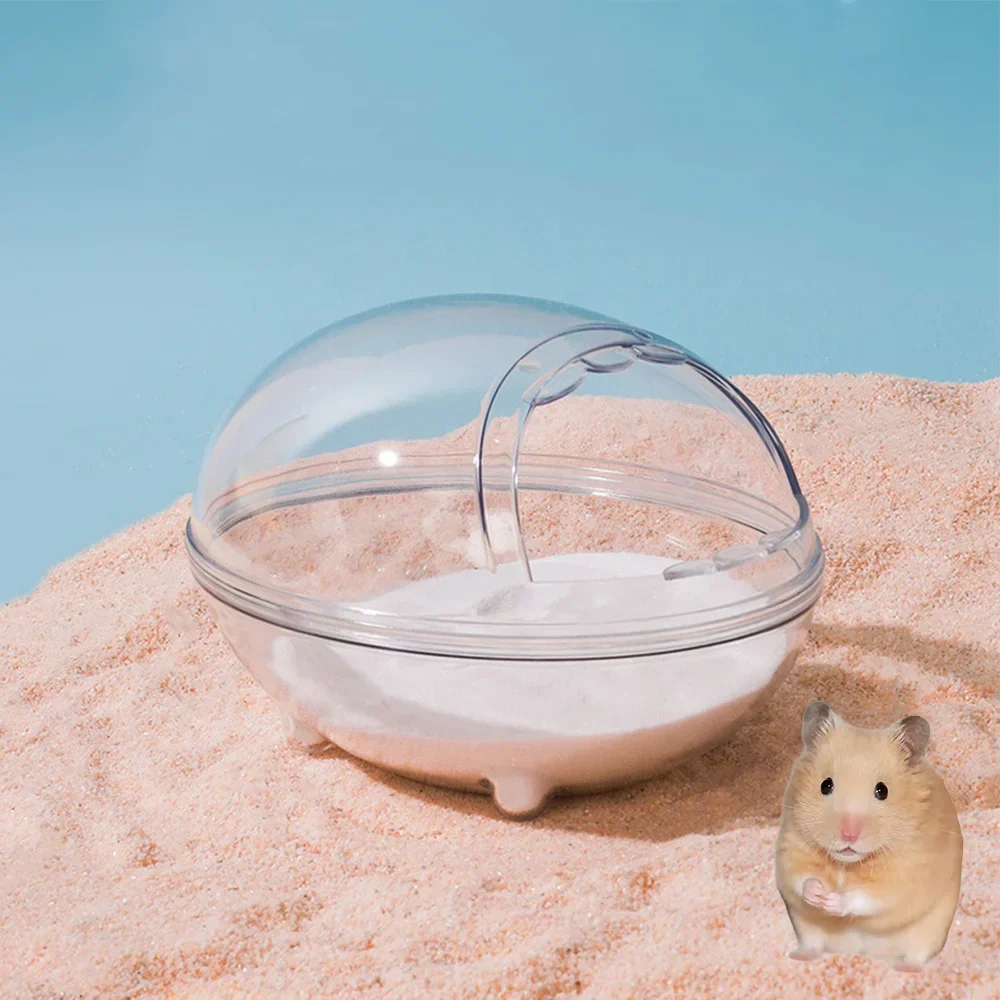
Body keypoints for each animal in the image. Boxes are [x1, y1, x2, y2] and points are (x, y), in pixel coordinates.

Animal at [775, 701, 963, 972]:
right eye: (826, 785)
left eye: (882, 790)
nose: (849, 834)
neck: (847, 865)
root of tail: (866, 953)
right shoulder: (792, 846)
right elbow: (801, 878)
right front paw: (818, 894)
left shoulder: (902, 874)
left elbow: (866, 896)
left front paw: (833, 901)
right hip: (806, 927)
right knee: (812, 943)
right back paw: (799, 955)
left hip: (931, 930)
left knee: (918, 954)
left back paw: (905, 969)